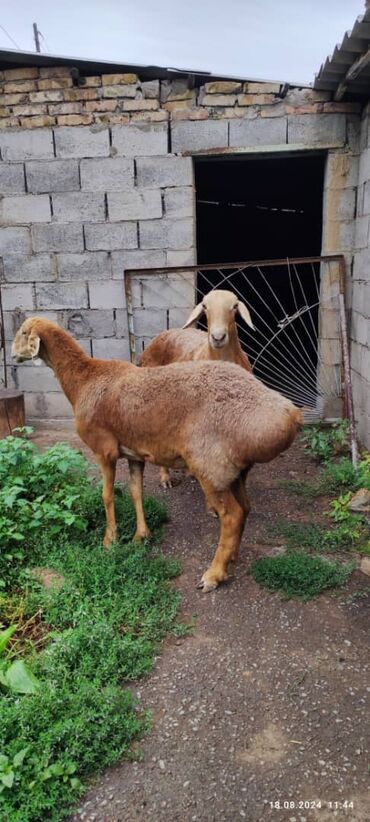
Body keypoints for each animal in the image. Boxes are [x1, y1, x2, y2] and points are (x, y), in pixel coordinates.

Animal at [12, 318, 300, 596]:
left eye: (23, 332)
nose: (13, 355)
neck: (85, 379)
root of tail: (289, 414)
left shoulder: (104, 450)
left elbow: (106, 495)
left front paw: (109, 540)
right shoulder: (134, 453)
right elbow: (136, 492)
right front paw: (140, 536)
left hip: (211, 466)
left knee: (232, 516)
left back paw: (213, 574)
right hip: (235, 470)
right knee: (246, 508)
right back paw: (231, 557)